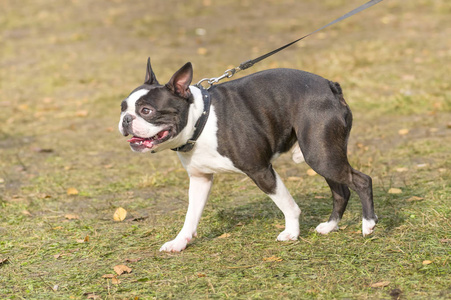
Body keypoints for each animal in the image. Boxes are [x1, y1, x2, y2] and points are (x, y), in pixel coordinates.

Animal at [117, 58, 378, 251]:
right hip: (323, 154)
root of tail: (331, 86)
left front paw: (291, 233)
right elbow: (191, 215)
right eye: (122, 108)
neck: (201, 119)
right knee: (341, 190)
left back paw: (368, 224)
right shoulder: (200, 179)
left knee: (361, 181)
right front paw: (179, 242)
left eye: (146, 111)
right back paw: (330, 226)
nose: (126, 119)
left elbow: (288, 205)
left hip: (320, 154)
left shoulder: (260, 170)